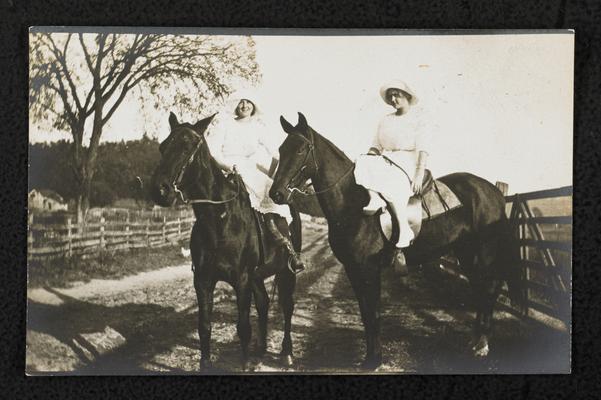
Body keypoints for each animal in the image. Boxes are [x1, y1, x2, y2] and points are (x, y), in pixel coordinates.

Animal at [150, 112, 298, 372]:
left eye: (187, 146)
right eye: (162, 146)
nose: (160, 190)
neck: (219, 221)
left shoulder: (242, 280)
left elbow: (243, 326)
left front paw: (245, 364)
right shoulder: (203, 280)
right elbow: (204, 325)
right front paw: (205, 364)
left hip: (286, 271)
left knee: (287, 307)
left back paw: (286, 353)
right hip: (257, 276)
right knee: (263, 303)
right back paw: (261, 349)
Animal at [270, 112, 524, 368]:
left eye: (301, 149)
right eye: (281, 149)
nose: (276, 194)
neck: (353, 204)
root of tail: (494, 192)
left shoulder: (369, 269)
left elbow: (373, 313)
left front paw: (375, 360)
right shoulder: (353, 269)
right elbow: (364, 313)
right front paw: (369, 356)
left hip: (484, 254)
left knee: (489, 289)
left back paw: (482, 345)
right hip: (466, 253)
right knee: (480, 289)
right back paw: (475, 341)